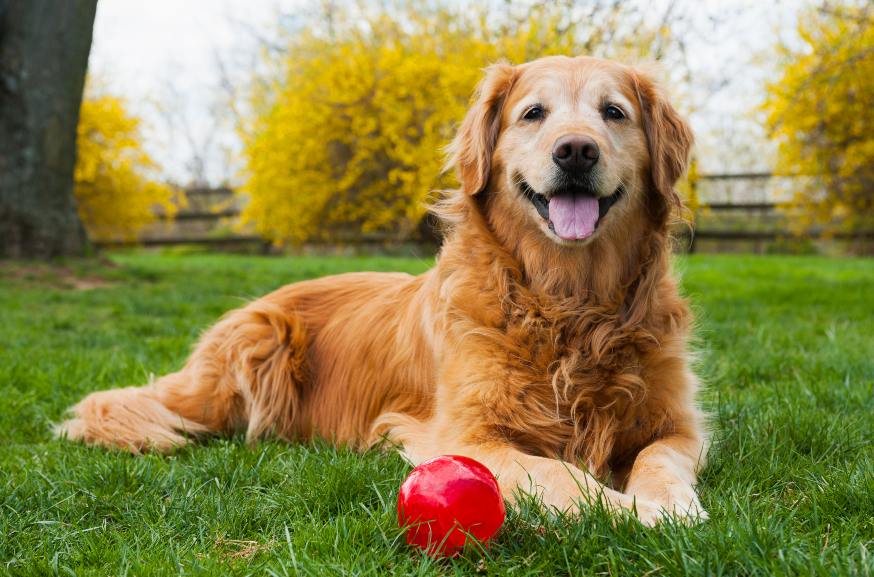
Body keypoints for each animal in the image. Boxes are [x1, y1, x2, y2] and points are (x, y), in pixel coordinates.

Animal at [58, 56, 704, 524]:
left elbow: (660, 459)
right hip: (249, 353)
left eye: (614, 112)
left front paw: (668, 505)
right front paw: (634, 512)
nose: (575, 150)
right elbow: (558, 472)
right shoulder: (463, 433)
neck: (570, 302)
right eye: (534, 114)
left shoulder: (678, 423)